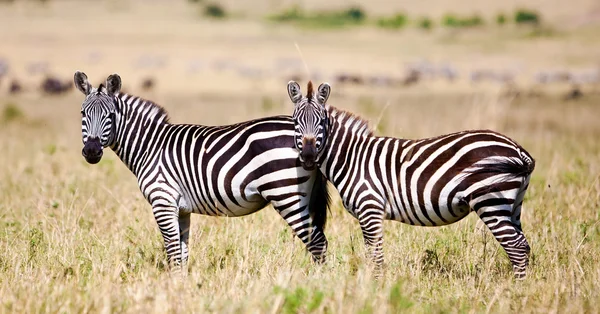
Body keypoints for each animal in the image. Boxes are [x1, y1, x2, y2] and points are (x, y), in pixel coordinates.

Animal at [75, 72, 332, 272]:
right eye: (82, 114)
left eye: (110, 116)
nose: (91, 151)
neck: (150, 145)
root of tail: (307, 138)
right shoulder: (181, 209)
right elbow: (182, 254)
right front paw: (181, 286)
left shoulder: (162, 201)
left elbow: (172, 251)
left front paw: (172, 290)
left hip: (286, 194)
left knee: (317, 243)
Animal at [288, 79, 536, 278]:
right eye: (295, 122)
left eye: (321, 122)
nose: (308, 156)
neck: (351, 157)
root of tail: (517, 149)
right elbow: (371, 253)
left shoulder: (370, 209)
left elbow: (376, 255)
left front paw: (376, 288)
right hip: (512, 205)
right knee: (523, 245)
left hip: (491, 202)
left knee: (514, 246)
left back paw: (516, 289)